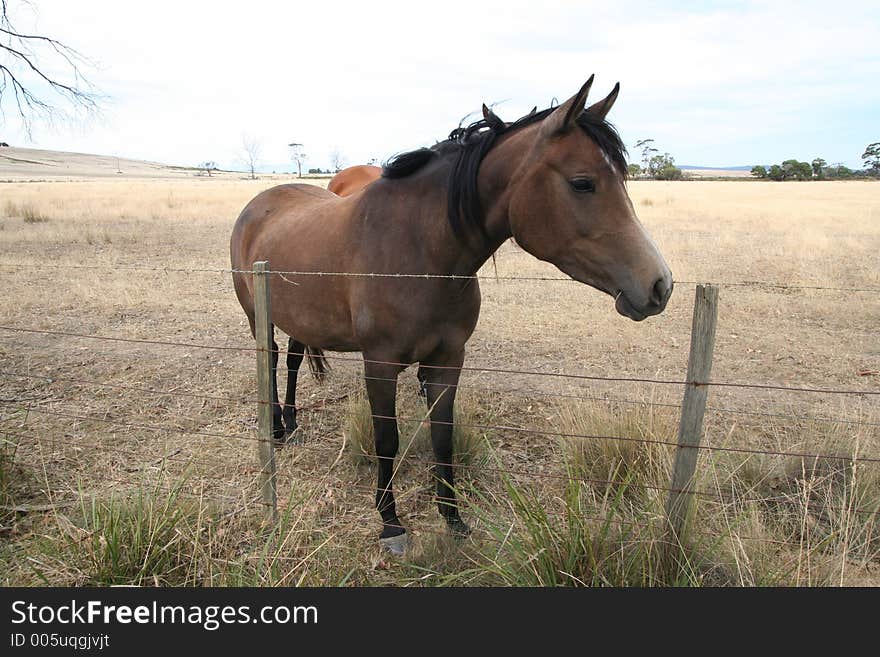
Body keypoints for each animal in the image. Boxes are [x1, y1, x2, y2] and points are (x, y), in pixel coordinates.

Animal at [229, 74, 672, 552]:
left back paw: (292, 422)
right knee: (272, 358)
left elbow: (443, 437)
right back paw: (275, 427)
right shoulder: (379, 364)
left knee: (293, 358)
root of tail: (261, 201)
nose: (659, 284)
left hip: (301, 316)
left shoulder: (447, 361)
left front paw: (453, 518)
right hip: (258, 315)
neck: (421, 252)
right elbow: (387, 439)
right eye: (583, 183)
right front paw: (391, 523)